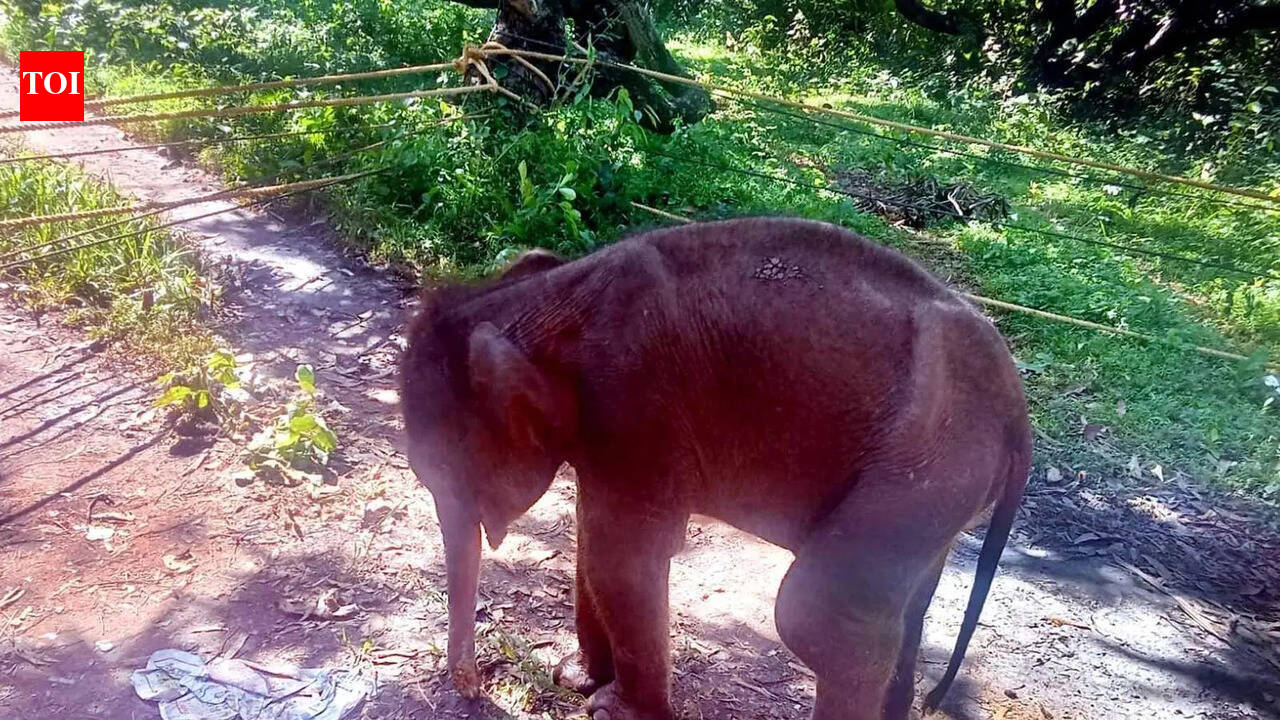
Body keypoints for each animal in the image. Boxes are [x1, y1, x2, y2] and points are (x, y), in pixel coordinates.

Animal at [399, 217, 1031, 720]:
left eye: (452, 475)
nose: (473, 691)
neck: (547, 298)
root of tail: (1016, 406)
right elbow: (592, 538)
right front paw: (577, 680)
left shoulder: (636, 402)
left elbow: (620, 557)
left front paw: (615, 710)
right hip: (942, 484)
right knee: (903, 606)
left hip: (928, 456)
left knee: (816, 615)